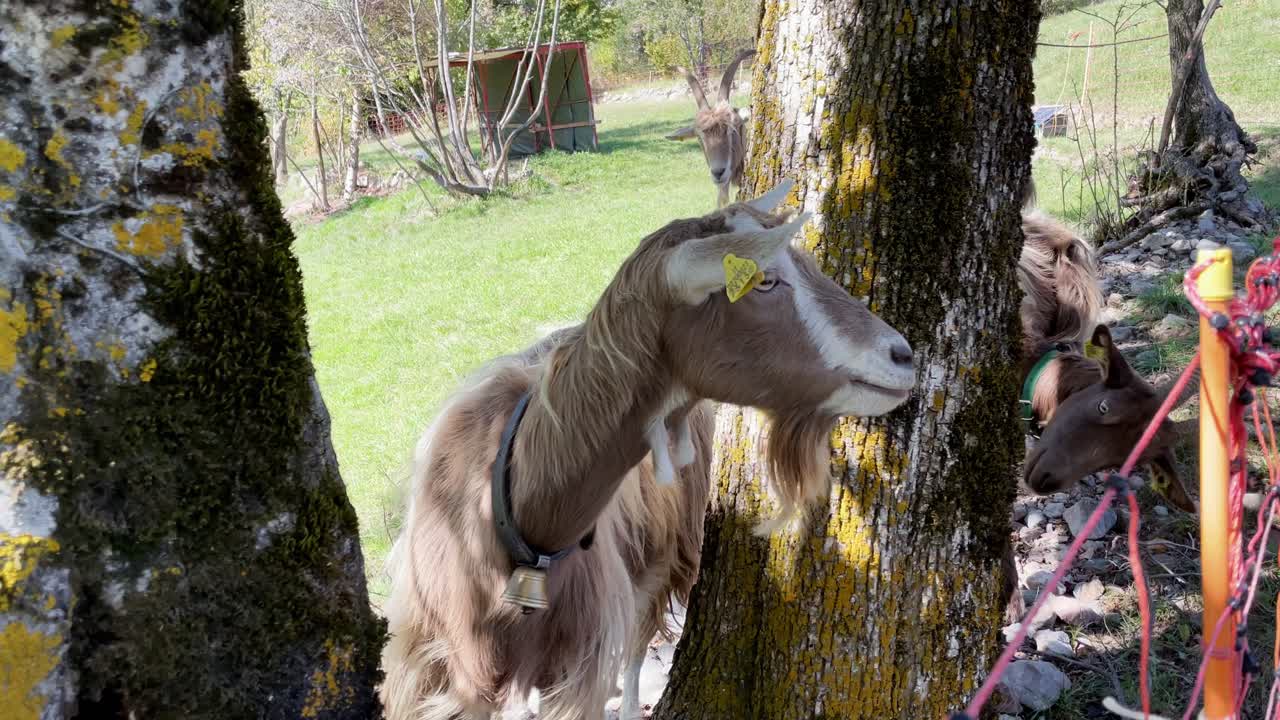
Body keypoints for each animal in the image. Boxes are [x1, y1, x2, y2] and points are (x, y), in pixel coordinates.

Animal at [379, 178, 916, 720]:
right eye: (764, 281)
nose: (903, 356)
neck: (515, 518)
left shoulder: (580, 668)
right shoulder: (433, 668)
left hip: (661, 559)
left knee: (638, 648)